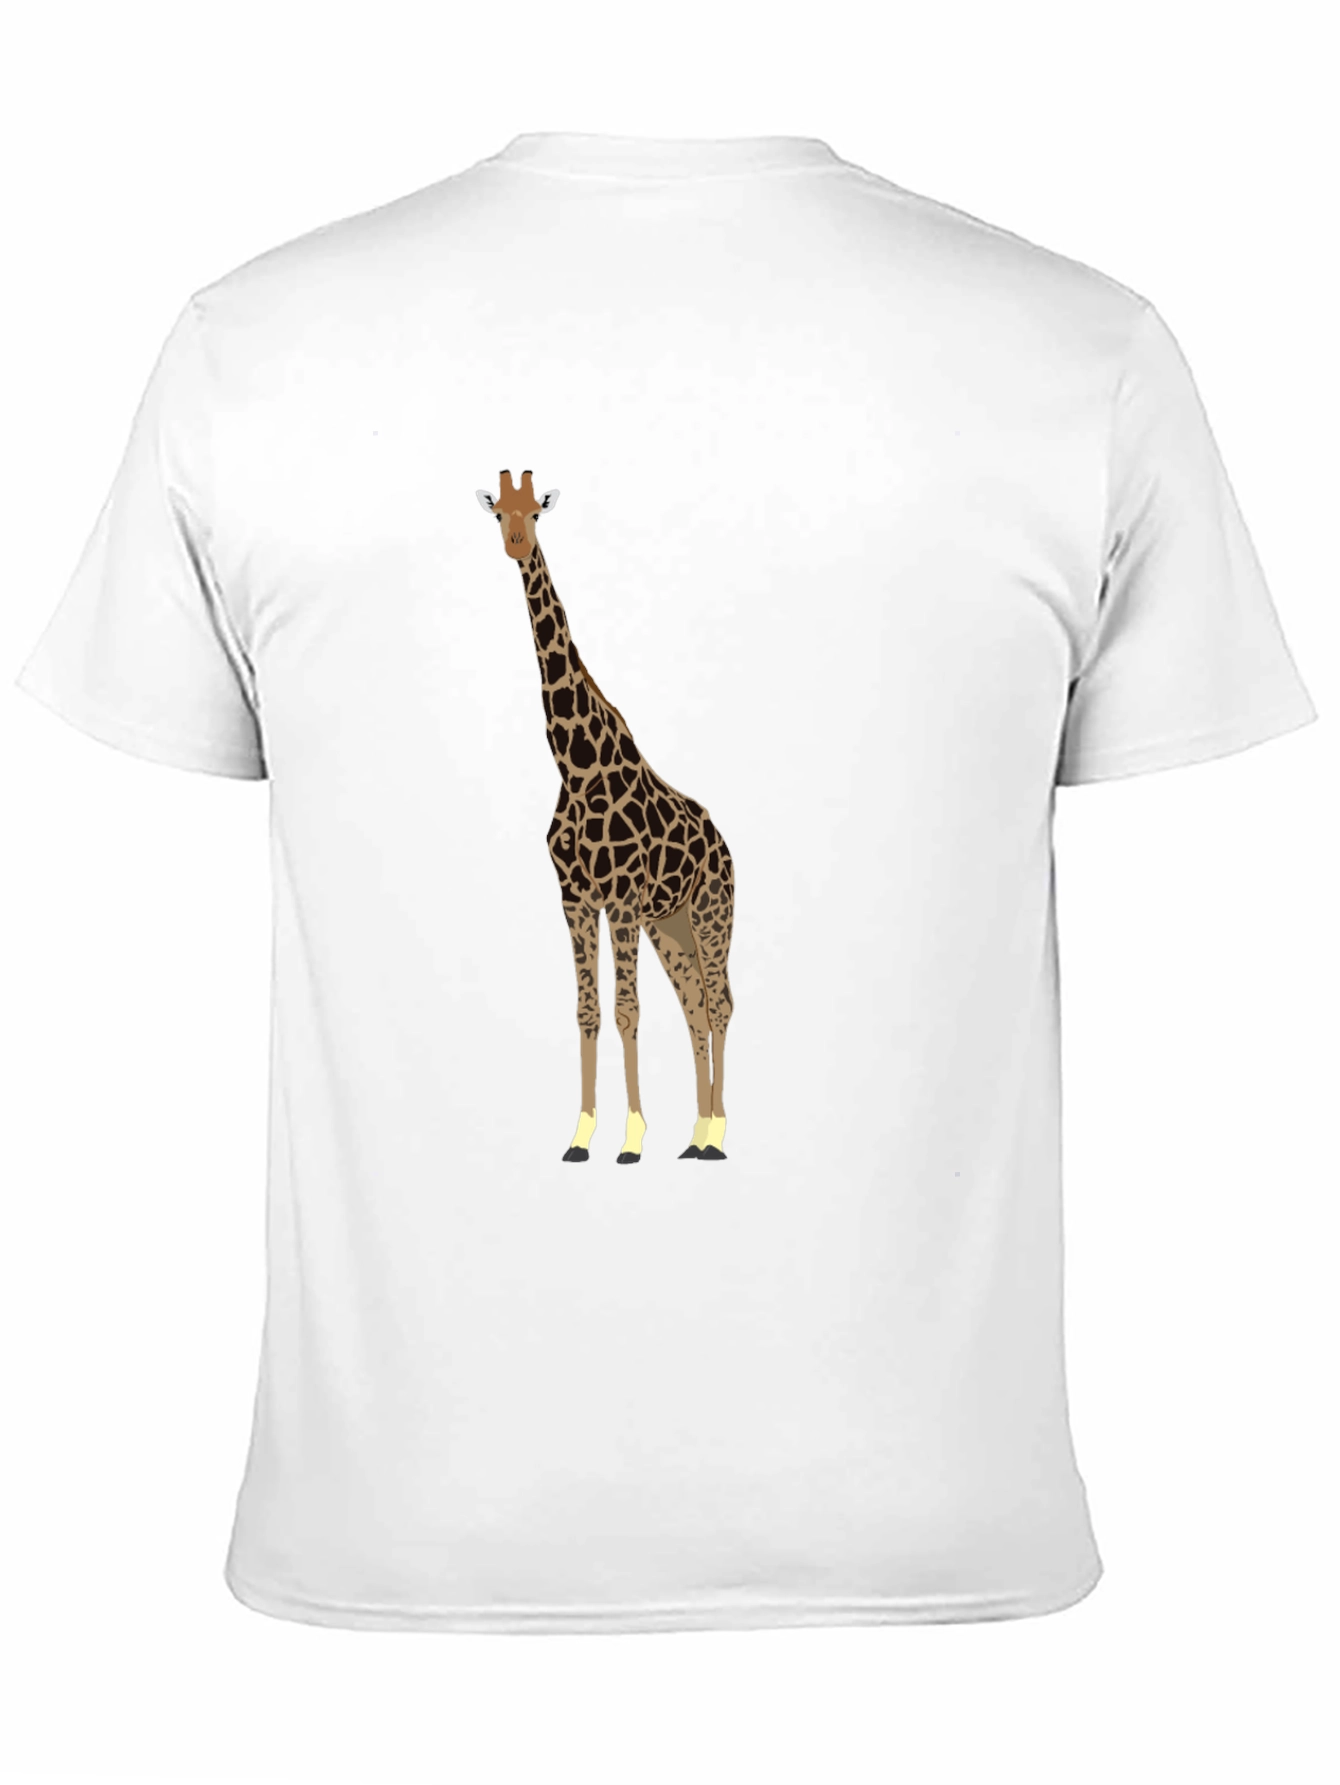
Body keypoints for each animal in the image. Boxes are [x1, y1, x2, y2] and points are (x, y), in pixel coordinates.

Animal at [476, 470, 735, 1165]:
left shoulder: (618, 898)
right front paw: (581, 1134)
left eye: (537, 512)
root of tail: (725, 844)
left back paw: (716, 1134)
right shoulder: (574, 898)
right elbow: (588, 1011)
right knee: (696, 1004)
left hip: (708, 913)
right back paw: (696, 1134)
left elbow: (626, 1011)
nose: (515, 544)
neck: (574, 763)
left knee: (720, 1004)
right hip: (669, 924)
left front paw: (632, 1138)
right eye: (499, 513)